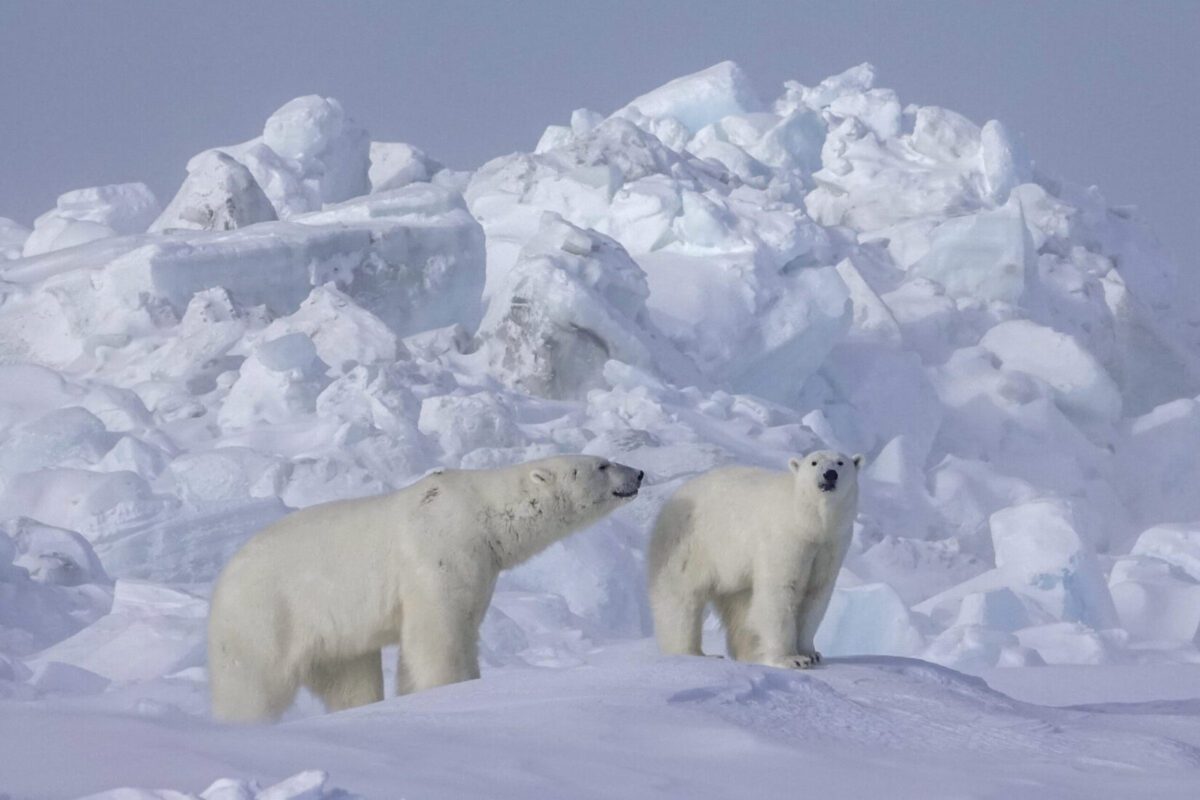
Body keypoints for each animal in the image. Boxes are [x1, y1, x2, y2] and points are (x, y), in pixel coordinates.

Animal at [208, 454, 644, 723]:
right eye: (602, 464)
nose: (638, 473)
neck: (482, 514)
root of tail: (224, 578)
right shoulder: (439, 550)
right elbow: (438, 633)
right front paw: (447, 692)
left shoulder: (481, 566)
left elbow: (464, 623)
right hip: (266, 614)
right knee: (249, 684)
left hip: (332, 633)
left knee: (351, 677)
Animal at [647, 450, 863, 669]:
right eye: (814, 462)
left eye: (840, 462)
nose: (829, 474)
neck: (808, 523)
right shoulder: (785, 538)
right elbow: (780, 591)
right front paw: (791, 659)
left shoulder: (831, 545)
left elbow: (815, 594)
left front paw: (811, 654)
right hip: (689, 545)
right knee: (680, 598)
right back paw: (692, 653)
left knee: (740, 609)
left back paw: (750, 653)